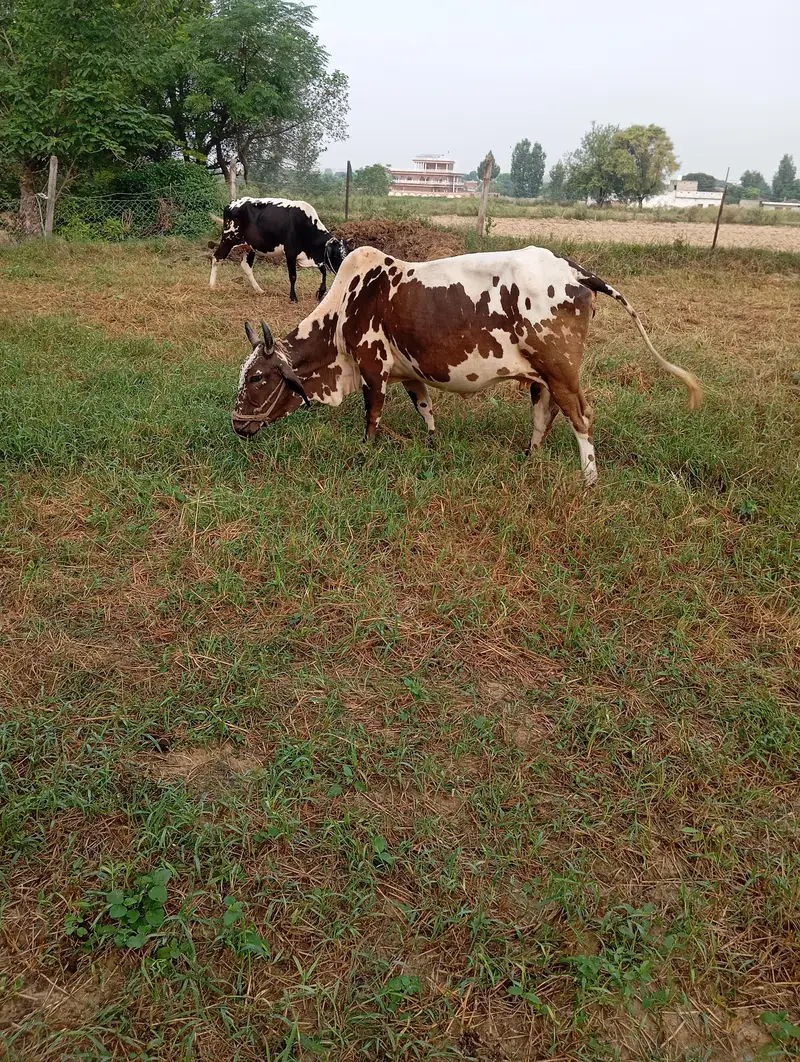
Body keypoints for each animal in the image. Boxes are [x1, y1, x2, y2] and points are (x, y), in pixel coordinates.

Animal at [209, 197, 349, 303]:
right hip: (228, 239)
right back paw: (212, 286)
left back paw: (259, 290)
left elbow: (324, 272)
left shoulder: (316, 257)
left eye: (347, 254)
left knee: (245, 266)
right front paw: (293, 297)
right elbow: (293, 276)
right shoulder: (291, 253)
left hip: (249, 247)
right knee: (216, 258)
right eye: (336, 256)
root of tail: (233, 203)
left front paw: (320, 293)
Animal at [231, 245, 702, 485]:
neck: (351, 299)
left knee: (581, 417)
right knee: (542, 415)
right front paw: (433, 446)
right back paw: (529, 460)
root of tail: (574, 269)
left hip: (563, 372)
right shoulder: (411, 375)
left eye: (257, 376)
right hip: (543, 377)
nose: (236, 424)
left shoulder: (372, 369)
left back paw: (589, 481)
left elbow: (372, 418)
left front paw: (365, 453)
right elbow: (426, 410)